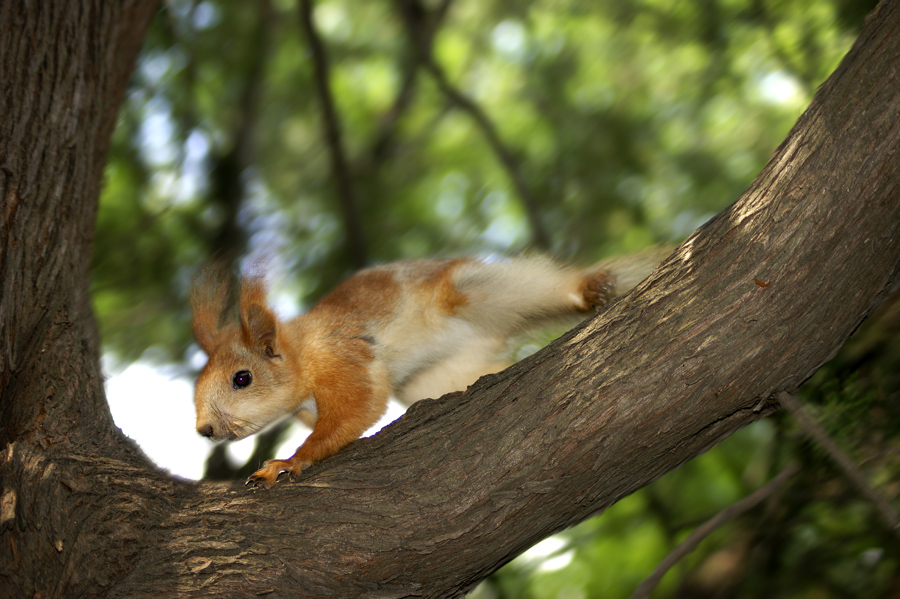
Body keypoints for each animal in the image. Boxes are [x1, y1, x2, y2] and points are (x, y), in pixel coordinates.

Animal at [190, 251, 656, 490]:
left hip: (472, 290)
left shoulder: (342, 358)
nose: (204, 430)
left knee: (540, 286)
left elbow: (355, 410)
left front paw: (288, 462)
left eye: (242, 378)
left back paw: (590, 289)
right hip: (434, 376)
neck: (301, 353)